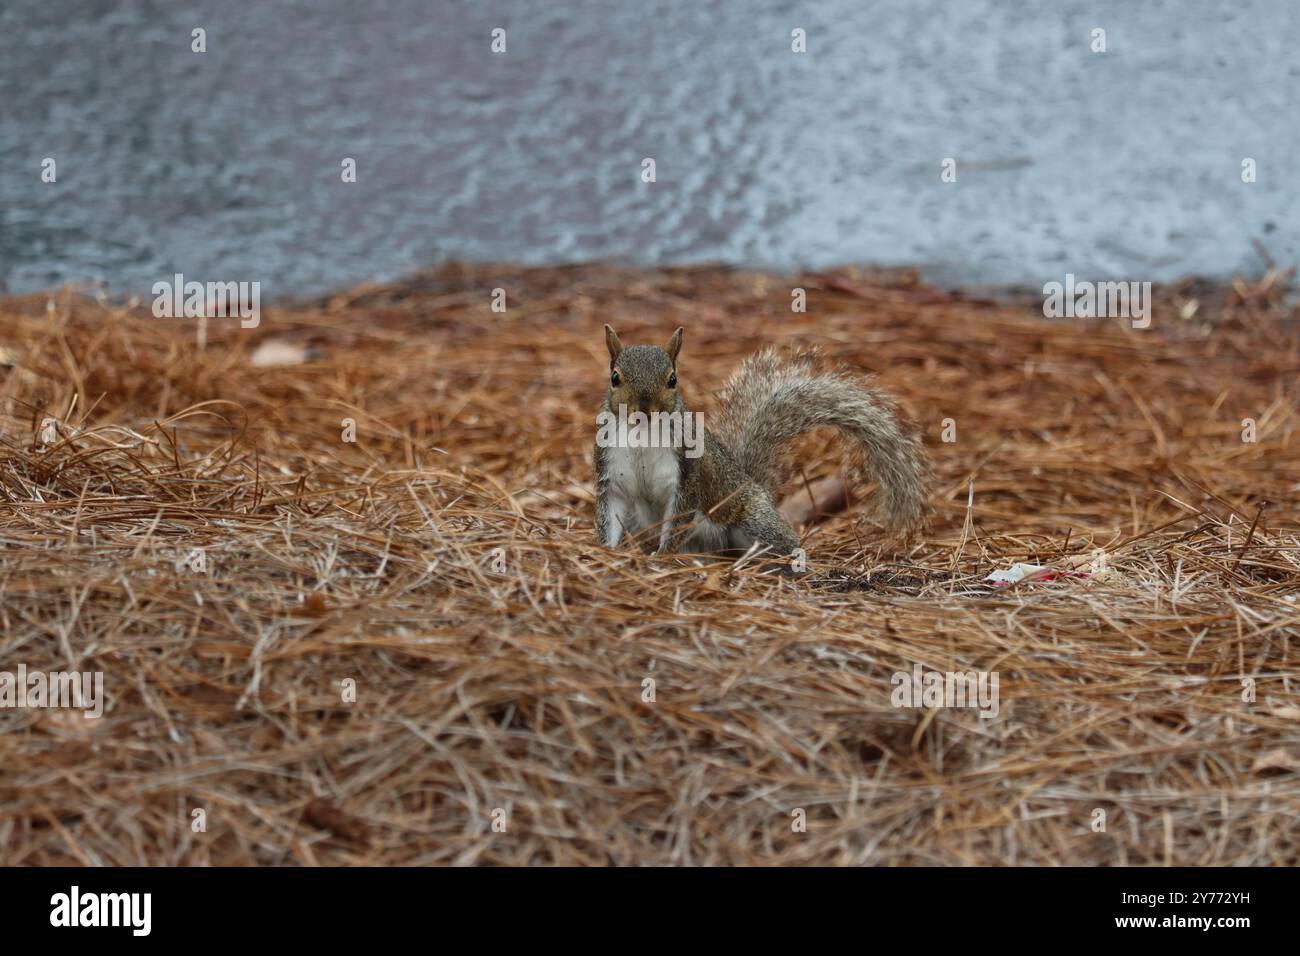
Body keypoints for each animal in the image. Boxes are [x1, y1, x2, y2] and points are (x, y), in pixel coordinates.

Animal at [594, 325, 927, 557]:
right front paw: (607, 551)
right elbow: (609, 513)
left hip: (753, 520)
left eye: (672, 379)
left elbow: (678, 517)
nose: (643, 409)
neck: (642, 434)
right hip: (639, 521)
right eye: (614, 377)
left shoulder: (686, 474)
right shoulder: (610, 471)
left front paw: (663, 555)